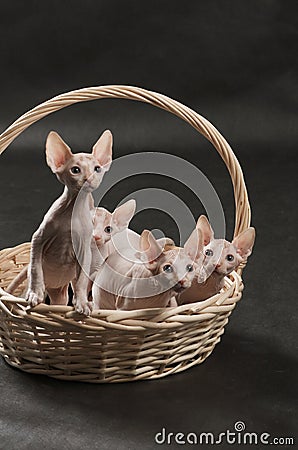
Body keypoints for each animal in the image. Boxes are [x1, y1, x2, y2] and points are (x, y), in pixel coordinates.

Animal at [5, 130, 255, 312]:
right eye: (75, 170)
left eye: (97, 168)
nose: (89, 179)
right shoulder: (39, 240)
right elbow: (36, 268)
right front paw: (36, 294)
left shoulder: (85, 257)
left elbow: (82, 283)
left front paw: (82, 303)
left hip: (60, 289)